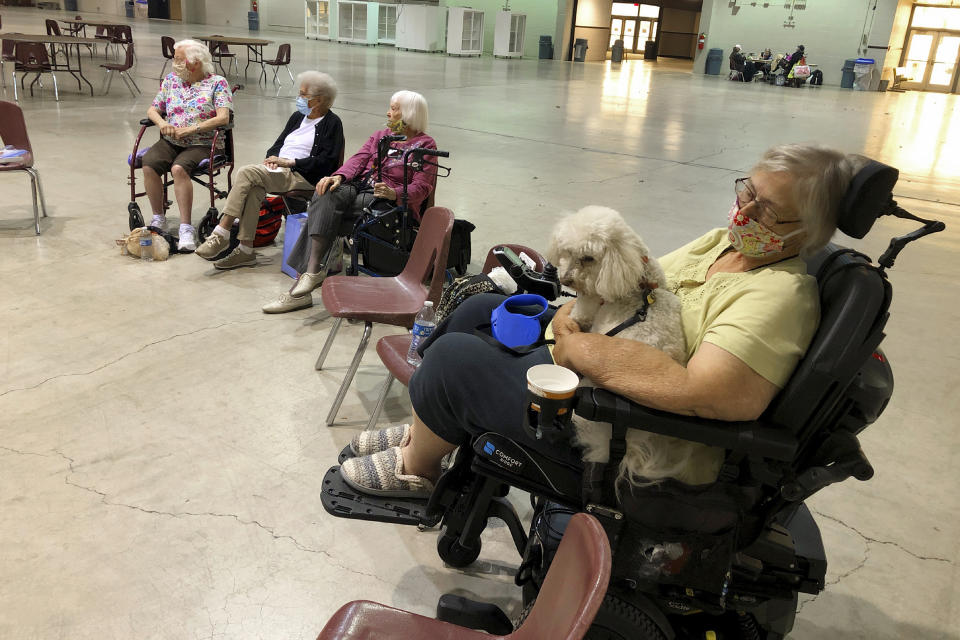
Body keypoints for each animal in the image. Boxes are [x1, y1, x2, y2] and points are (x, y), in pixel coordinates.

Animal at [548, 208, 720, 488]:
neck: (639, 282)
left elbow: (576, 318)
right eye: (568, 251)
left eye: (588, 258)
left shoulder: (586, 307)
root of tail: (631, 443)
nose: (566, 280)